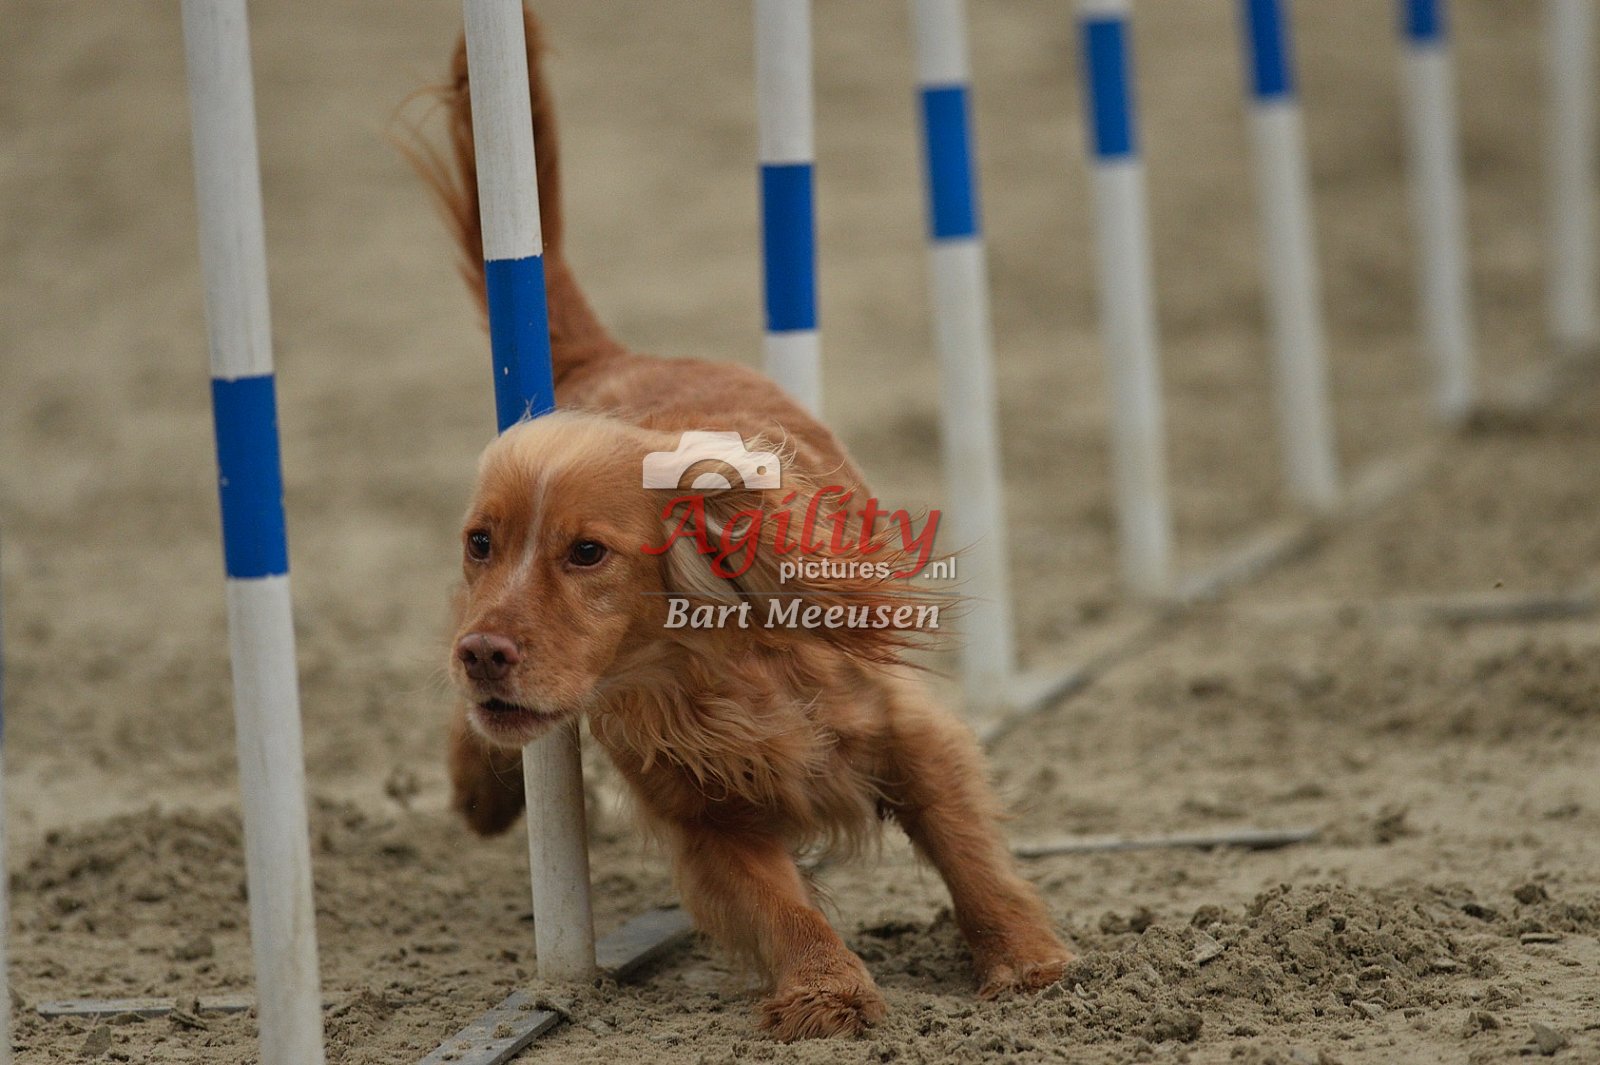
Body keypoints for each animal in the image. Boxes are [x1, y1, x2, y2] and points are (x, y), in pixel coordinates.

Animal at [417, 7, 1071, 1040]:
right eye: (482, 542)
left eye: (587, 553)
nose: (485, 654)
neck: (707, 663)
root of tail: (620, 355)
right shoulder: (704, 812)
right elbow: (779, 902)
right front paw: (827, 989)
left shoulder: (907, 728)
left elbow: (967, 848)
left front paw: (1025, 959)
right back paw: (481, 784)